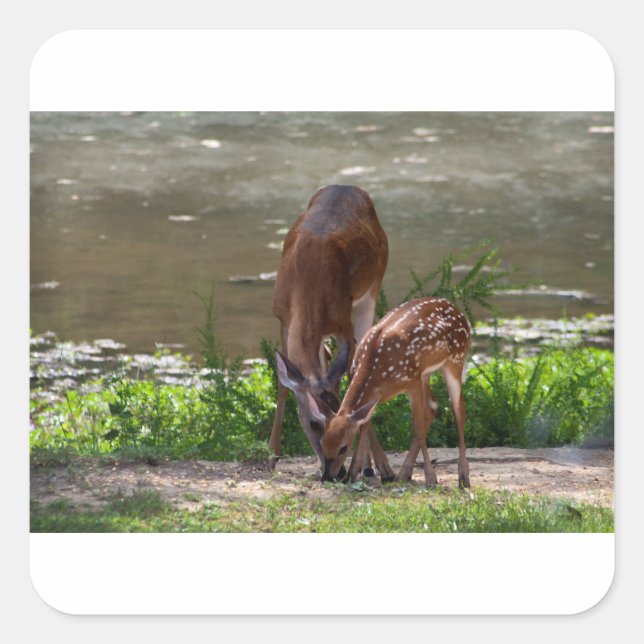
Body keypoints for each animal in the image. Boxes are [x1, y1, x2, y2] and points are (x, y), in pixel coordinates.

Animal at [269, 184, 396, 482]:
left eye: (338, 411)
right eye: (314, 423)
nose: (332, 473)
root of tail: (349, 187)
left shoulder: (342, 322)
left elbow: (351, 378)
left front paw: (360, 465)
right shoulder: (282, 316)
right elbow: (283, 384)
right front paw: (272, 454)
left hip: (370, 294)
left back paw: (376, 466)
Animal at [307, 297, 472, 488]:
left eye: (344, 448)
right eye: (322, 442)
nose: (327, 476)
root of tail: (460, 313)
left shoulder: (412, 380)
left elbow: (417, 426)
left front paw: (431, 478)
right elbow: (364, 424)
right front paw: (352, 473)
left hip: (455, 360)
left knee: (458, 409)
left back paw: (463, 477)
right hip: (426, 373)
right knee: (433, 406)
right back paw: (403, 474)